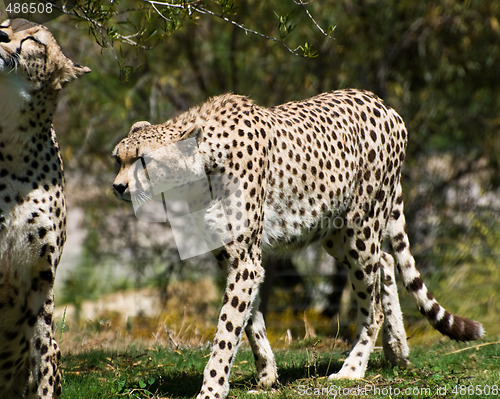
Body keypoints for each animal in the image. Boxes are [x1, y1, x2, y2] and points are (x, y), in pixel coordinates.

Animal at [111, 90, 482, 399]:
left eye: (143, 160)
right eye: (119, 159)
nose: (117, 187)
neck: (200, 164)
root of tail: (382, 103)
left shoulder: (244, 260)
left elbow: (227, 328)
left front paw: (212, 389)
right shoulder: (233, 258)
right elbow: (250, 320)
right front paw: (266, 376)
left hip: (359, 228)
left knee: (373, 304)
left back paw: (353, 368)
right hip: (337, 234)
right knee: (387, 262)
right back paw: (398, 351)